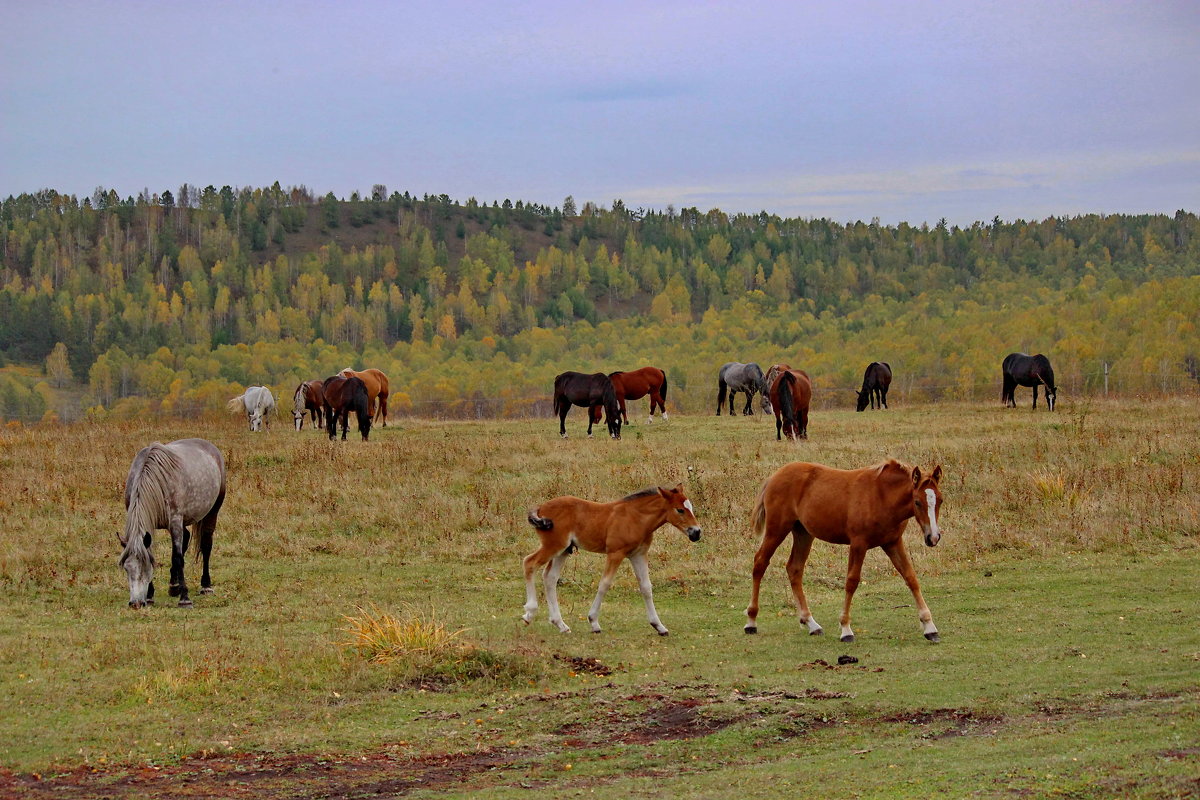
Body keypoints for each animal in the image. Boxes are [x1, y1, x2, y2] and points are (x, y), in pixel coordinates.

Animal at [120, 438, 226, 606]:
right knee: (186, 538)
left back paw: (205, 585)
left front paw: (185, 599)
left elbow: (178, 557)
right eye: (126, 568)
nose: (136, 604)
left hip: (212, 512)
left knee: (206, 545)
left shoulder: (175, 520)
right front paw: (150, 595)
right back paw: (174, 586)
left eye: (146, 568)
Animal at [520, 484, 700, 633]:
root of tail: (541, 507)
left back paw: (560, 624)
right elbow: (604, 584)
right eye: (680, 510)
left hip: (563, 550)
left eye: (690, 507)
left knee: (550, 577)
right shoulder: (615, 553)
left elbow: (646, 587)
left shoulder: (638, 554)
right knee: (529, 563)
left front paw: (659, 626)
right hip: (554, 546)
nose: (697, 532)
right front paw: (593, 622)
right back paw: (530, 613)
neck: (635, 518)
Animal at [739, 460, 945, 642]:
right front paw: (846, 629)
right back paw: (751, 622)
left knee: (794, 569)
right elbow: (851, 582)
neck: (881, 496)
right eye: (917, 502)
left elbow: (911, 578)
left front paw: (930, 627)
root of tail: (774, 476)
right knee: (760, 562)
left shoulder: (893, 543)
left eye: (940, 500)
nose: (933, 537)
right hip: (777, 529)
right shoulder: (858, 544)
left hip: (803, 533)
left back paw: (811, 624)